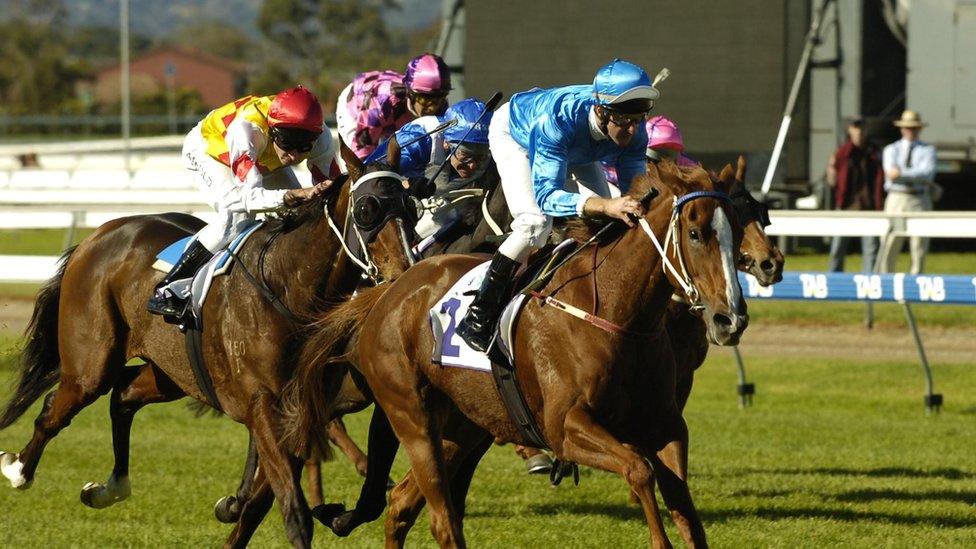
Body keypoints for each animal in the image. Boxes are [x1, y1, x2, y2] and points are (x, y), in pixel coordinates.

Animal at [0, 143, 416, 544]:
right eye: (366, 209)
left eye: (412, 206)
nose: (403, 273)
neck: (288, 285)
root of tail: (97, 235)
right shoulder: (263, 406)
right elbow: (293, 512)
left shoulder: (303, 410)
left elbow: (260, 505)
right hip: (92, 362)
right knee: (59, 406)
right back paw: (18, 469)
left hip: (172, 372)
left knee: (123, 395)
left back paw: (108, 488)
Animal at [290, 161, 748, 544]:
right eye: (695, 234)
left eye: (737, 234)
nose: (731, 319)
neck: (616, 312)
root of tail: (390, 290)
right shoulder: (565, 427)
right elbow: (639, 469)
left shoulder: (665, 425)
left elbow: (683, 502)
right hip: (412, 417)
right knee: (441, 518)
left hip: (463, 426)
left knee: (401, 506)